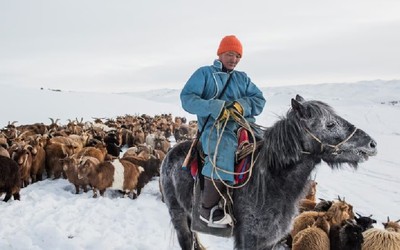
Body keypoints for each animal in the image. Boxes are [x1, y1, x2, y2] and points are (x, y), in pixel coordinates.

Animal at [159, 94, 376, 249]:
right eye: (330, 124)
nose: (372, 144)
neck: (271, 183)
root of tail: (170, 154)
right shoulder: (249, 239)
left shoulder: (270, 240)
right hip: (178, 215)